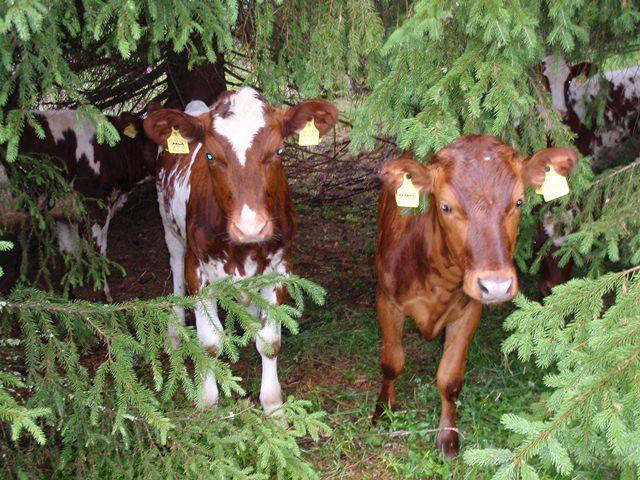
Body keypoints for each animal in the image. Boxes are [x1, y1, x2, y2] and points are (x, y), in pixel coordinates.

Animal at [1, 109, 157, 299]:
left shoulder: (64, 213)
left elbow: (68, 253)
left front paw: (67, 295)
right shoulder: (95, 207)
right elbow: (97, 251)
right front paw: (105, 296)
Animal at [143, 88, 338, 412]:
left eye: (279, 151)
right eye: (210, 155)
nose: (251, 228)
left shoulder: (280, 266)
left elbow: (270, 342)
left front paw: (273, 405)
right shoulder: (199, 270)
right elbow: (209, 344)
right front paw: (208, 401)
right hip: (169, 228)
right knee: (175, 270)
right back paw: (174, 329)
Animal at [373, 135, 577, 457]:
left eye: (519, 201)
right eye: (445, 206)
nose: (496, 285)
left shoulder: (469, 310)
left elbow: (450, 378)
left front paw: (447, 438)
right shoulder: (386, 299)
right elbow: (392, 362)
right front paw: (383, 411)